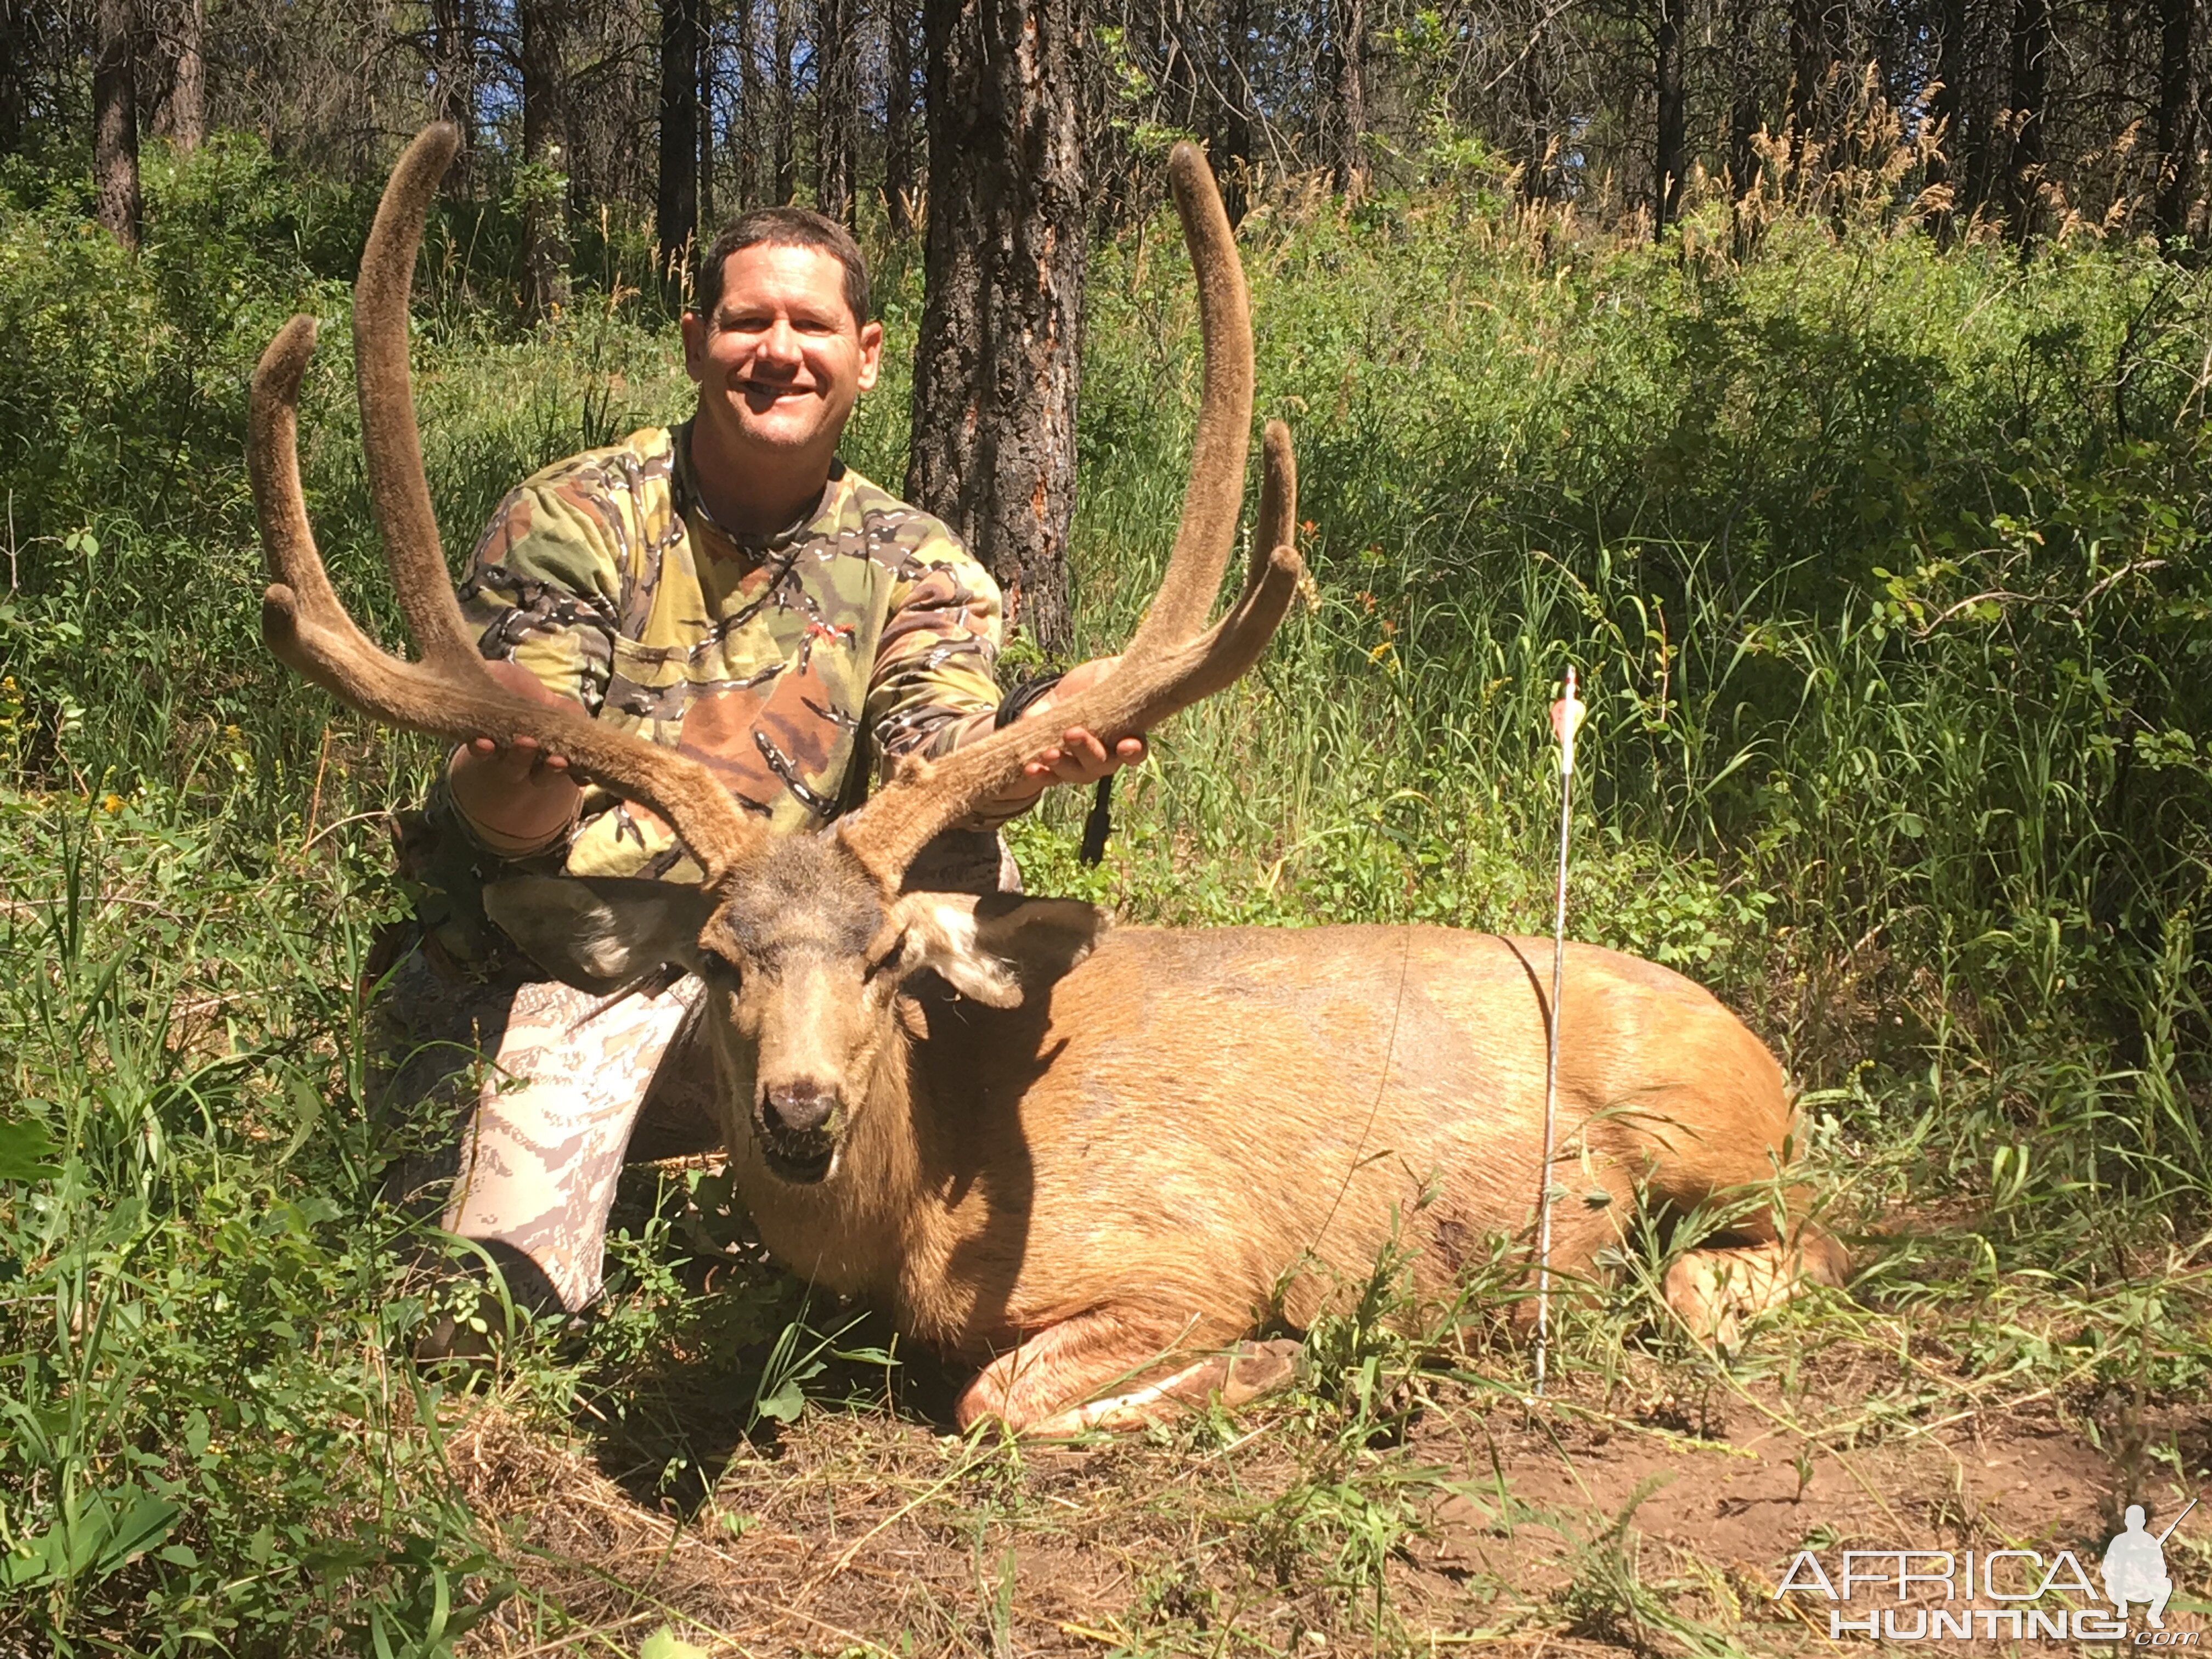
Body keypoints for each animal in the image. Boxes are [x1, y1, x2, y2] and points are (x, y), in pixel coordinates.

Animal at [251, 123, 1849, 1433]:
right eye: (714, 960)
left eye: (893, 958)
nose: (798, 1112)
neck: (927, 1207)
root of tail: (1776, 1058)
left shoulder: (1185, 1246)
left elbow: (1000, 1400)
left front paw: (1301, 1358)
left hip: (1722, 1135)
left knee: (1799, 1246)